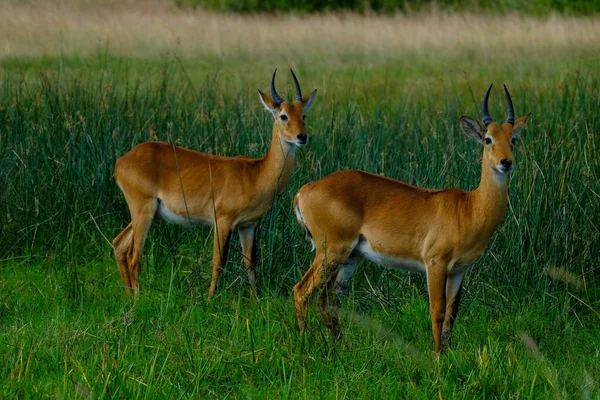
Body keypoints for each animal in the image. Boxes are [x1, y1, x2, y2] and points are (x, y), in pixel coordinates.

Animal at [113, 70, 318, 298]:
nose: (302, 137)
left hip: (149, 214)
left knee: (119, 244)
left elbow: (250, 262)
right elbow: (218, 261)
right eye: (283, 115)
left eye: (303, 115)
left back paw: (128, 296)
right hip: (143, 210)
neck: (256, 173)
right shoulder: (222, 221)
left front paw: (256, 297)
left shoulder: (248, 225)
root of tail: (121, 161)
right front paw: (210, 298)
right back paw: (138, 299)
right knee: (133, 255)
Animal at [292, 84, 528, 354]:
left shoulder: (459, 270)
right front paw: (437, 356)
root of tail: (304, 190)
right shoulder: (435, 263)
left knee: (329, 299)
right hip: (330, 251)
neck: (469, 208)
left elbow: (452, 313)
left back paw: (342, 346)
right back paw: (306, 340)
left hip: (351, 257)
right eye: (488, 139)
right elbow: (437, 310)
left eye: (513, 139)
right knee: (301, 291)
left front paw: (448, 353)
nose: (506, 162)